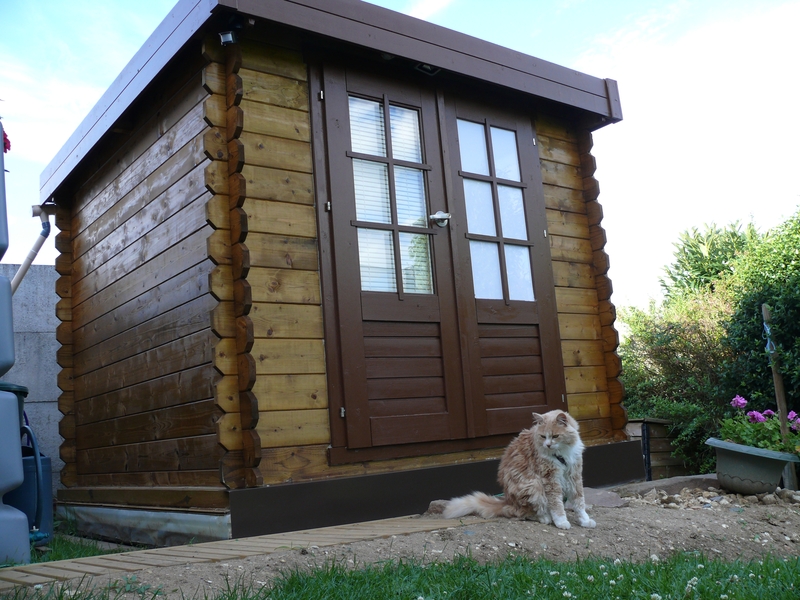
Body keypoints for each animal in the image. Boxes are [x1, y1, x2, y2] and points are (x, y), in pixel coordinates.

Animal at [444, 408, 592, 528]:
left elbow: (579, 501)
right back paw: (545, 517)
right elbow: (556, 505)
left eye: (555, 436)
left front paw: (585, 520)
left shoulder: (574, 475)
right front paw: (561, 522)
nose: (548, 445)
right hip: (533, 485)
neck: (563, 453)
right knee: (522, 513)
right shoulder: (550, 479)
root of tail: (507, 500)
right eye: (543, 436)